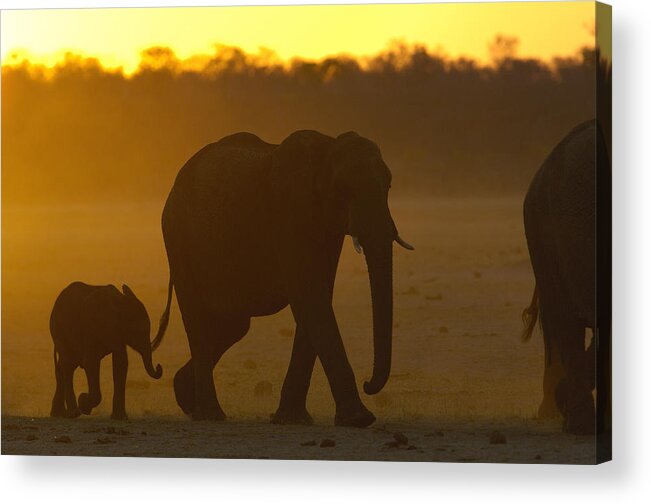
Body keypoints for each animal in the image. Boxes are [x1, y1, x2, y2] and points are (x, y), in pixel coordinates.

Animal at [50, 282, 163, 420]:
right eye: (138, 332)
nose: (159, 366)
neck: (120, 301)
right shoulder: (91, 326)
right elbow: (90, 362)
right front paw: (83, 403)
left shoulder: (116, 331)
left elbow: (121, 362)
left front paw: (120, 418)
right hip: (58, 330)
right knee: (67, 365)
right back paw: (73, 413)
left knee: (64, 366)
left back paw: (59, 414)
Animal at [153, 129, 412, 426]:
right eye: (342, 188)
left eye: (388, 186)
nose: (368, 383)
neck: (326, 149)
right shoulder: (288, 215)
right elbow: (310, 296)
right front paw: (358, 419)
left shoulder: (327, 226)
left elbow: (318, 295)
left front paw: (292, 419)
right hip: (177, 238)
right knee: (198, 319)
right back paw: (210, 415)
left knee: (234, 325)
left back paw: (186, 397)